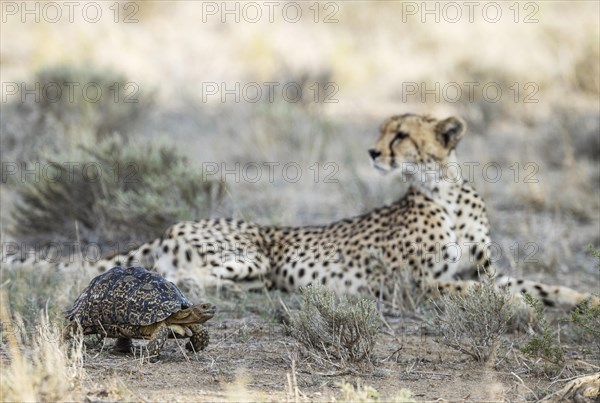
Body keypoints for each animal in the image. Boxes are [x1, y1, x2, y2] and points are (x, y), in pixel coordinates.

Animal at [7, 113, 596, 310]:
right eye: (383, 130)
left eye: (401, 134)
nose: (373, 152)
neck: (444, 191)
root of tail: (174, 222)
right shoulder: (413, 284)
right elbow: (476, 292)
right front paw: (516, 306)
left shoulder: (484, 268)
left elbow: (535, 284)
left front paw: (581, 299)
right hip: (252, 256)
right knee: (187, 277)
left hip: (251, 269)